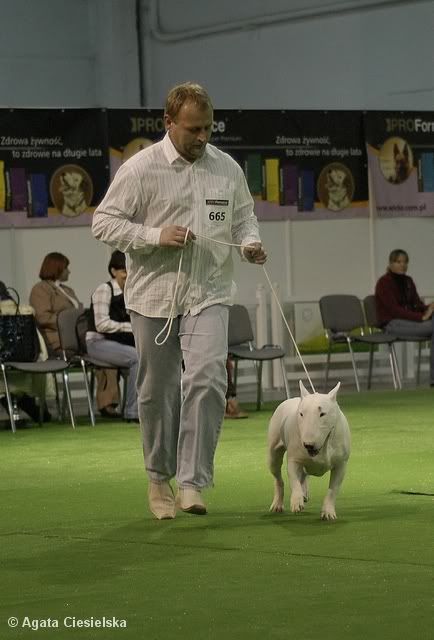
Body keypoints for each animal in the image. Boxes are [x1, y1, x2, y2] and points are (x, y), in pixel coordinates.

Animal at [268, 381, 350, 520]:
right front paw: (296, 502)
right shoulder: (294, 460)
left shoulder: (341, 465)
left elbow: (333, 489)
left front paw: (328, 512)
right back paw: (278, 504)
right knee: (278, 478)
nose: (308, 445)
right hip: (273, 454)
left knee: (303, 474)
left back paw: (304, 492)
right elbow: (293, 480)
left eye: (322, 414)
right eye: (301, 414)